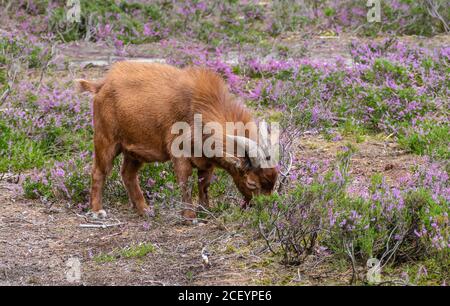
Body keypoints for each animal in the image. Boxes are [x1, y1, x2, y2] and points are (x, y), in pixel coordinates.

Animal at [76, 61, 278, 220]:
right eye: (252, 183)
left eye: (273, 182)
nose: (265, 208)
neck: (201, 105)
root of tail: (101, 84)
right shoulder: (179, 153)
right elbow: (184, 181)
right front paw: (189, 216)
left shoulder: (207, 160)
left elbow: (204, 184)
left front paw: (205, 210)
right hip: (106, 139)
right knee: (99, 172)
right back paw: (97, 211)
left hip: (134, 151)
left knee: (128, 174)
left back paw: (145, 210)